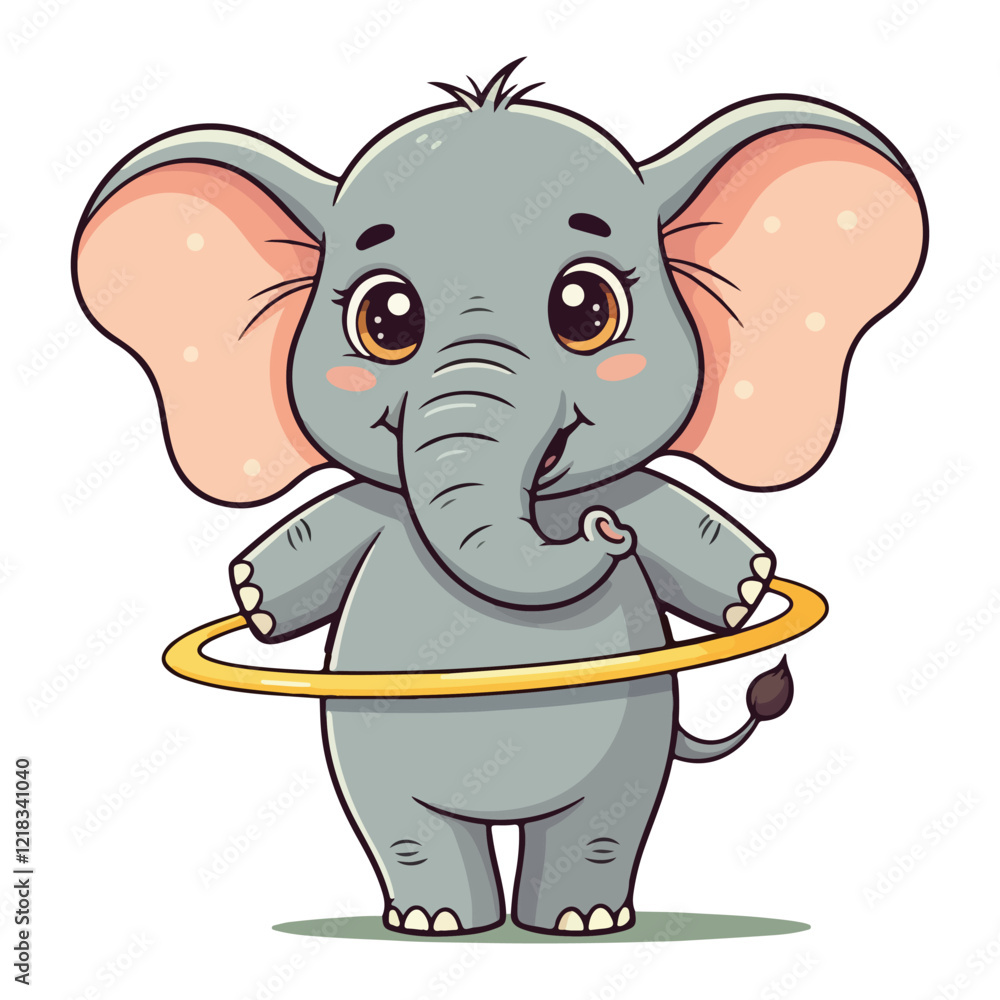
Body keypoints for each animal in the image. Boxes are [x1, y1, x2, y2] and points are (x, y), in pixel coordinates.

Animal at [72, 59, 927, 936]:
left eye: (585, 308)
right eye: (385, 318)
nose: (602, 526)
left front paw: (749, 588)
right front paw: (251, 598)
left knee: (603, 824)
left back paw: (581, 920)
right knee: (406, 830)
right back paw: (438, 921)